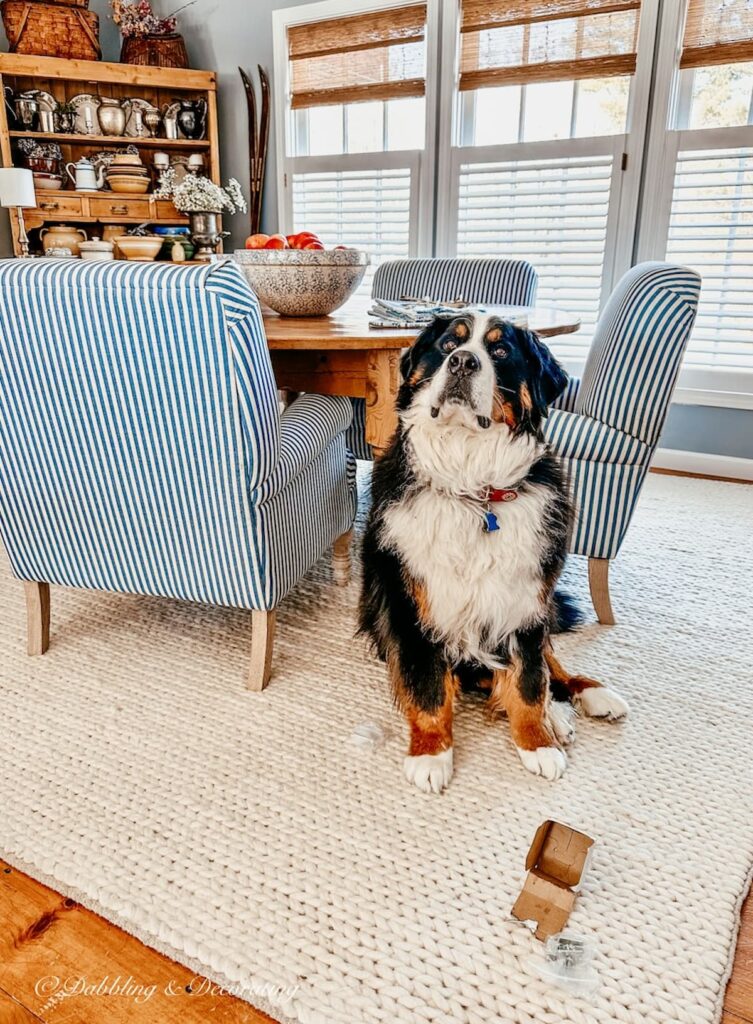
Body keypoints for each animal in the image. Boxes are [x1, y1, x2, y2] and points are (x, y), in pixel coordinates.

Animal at [358, 315, 631, 794]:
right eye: (448, 344)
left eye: (501, 352)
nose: (463, 362)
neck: (474, 488)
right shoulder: (411, 605)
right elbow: (428, 685)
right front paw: (431, 753)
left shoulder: (525, 600)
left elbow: (528, 682)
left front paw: (537, 742)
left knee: (551, 665)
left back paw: (585, 698)